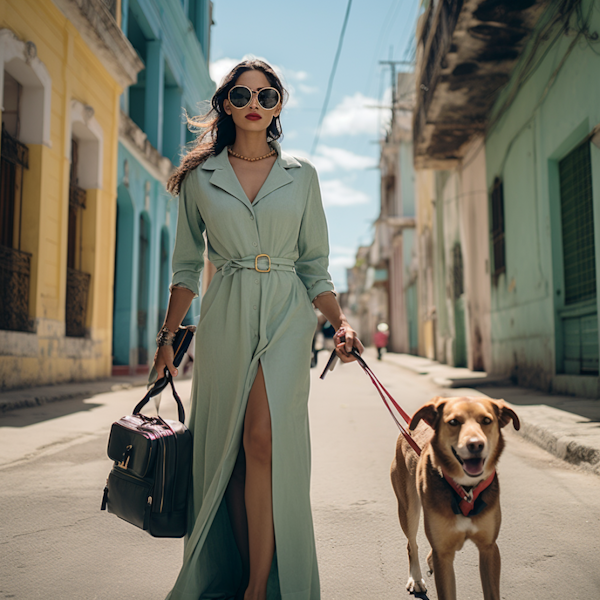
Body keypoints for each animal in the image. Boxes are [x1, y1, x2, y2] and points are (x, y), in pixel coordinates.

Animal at [392, 396, 516, 596]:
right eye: (453, 422)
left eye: (486, 420)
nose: (475, 444)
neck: (465, 490)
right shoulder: (443, 555)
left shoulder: (489, 549)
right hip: (408, 509)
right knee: (412, 544)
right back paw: (416, 579)